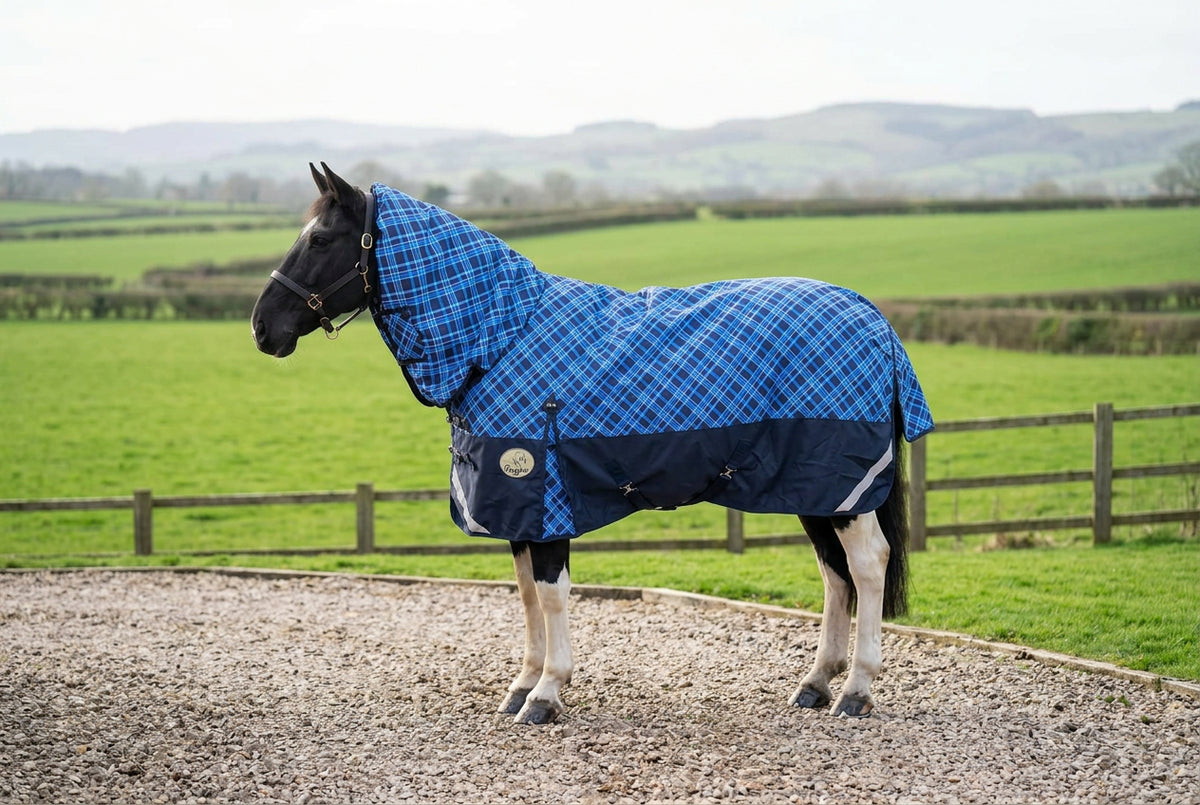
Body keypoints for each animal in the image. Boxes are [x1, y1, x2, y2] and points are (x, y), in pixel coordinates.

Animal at [251, 162, 934, 725]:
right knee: (834, 573)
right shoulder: (518, 509)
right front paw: (521, 686)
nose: (263, 328)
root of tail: (876, 321)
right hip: (814, 488)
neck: (501, 339)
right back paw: (816, 683)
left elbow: (552, 595)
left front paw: (547, 693)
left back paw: (856, 690)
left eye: (319, 240)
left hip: (842, 485)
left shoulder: (543, 494)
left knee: (866, 565)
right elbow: (527, 593)